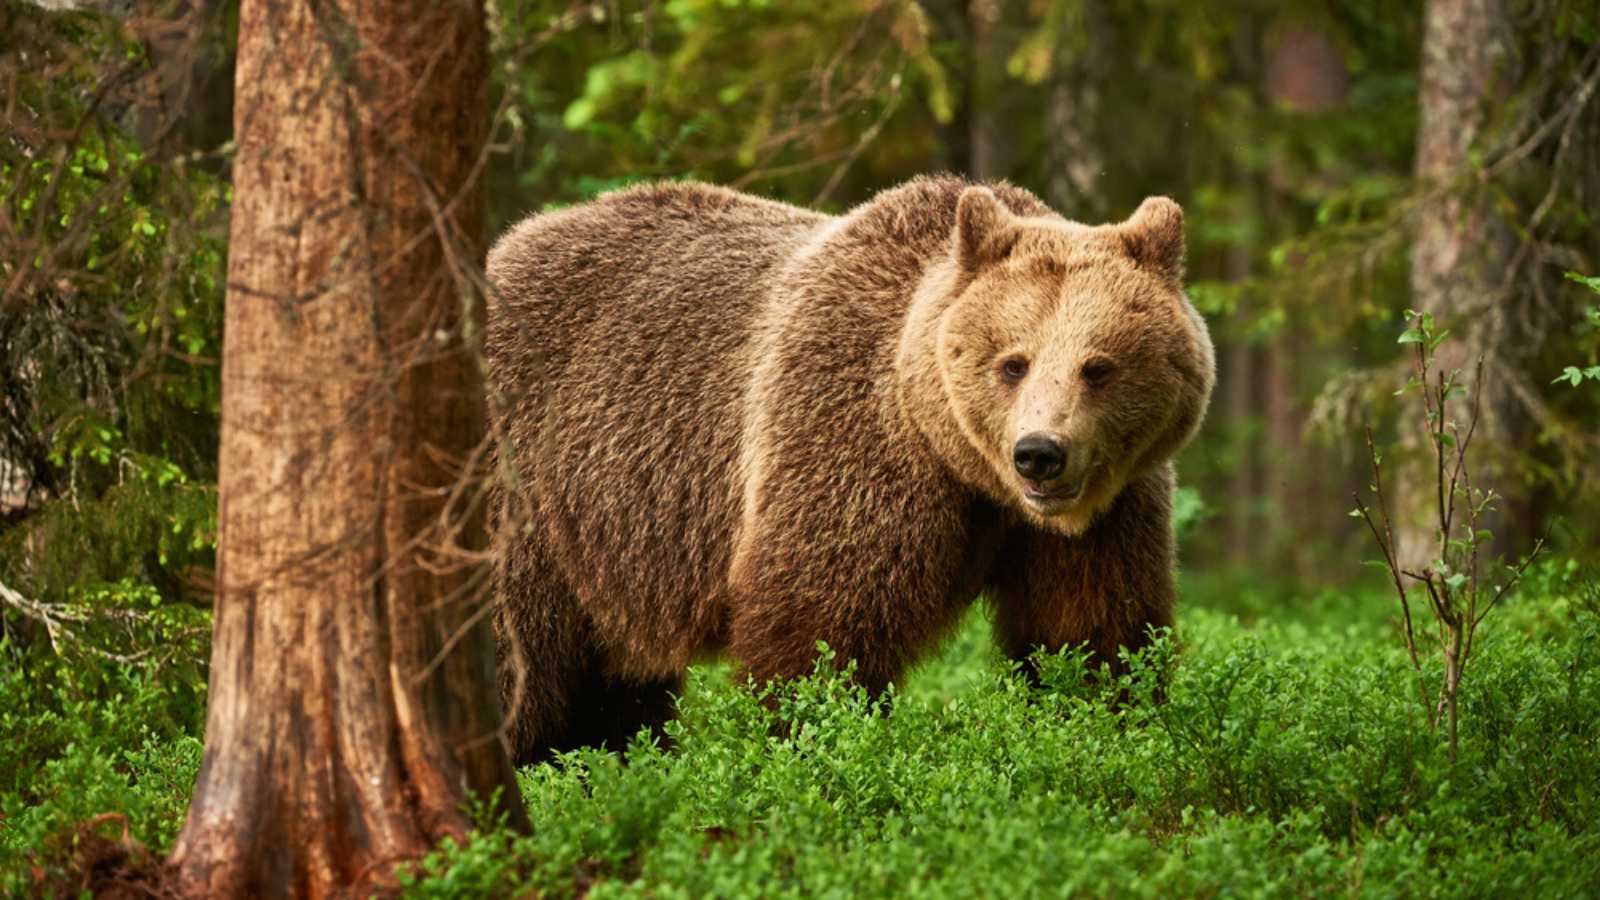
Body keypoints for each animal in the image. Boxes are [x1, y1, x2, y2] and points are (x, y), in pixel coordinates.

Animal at [485, 176, 1215, 765]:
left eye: (1099, 367)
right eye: (1013, 362)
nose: (1040, 451)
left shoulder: (1108, 512)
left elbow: (1090, 632)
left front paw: (1103, 726)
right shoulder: (847, 441)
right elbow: (821, 633)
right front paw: (810, 744)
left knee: (614, 691)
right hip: (529, 481)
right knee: (518, 659)